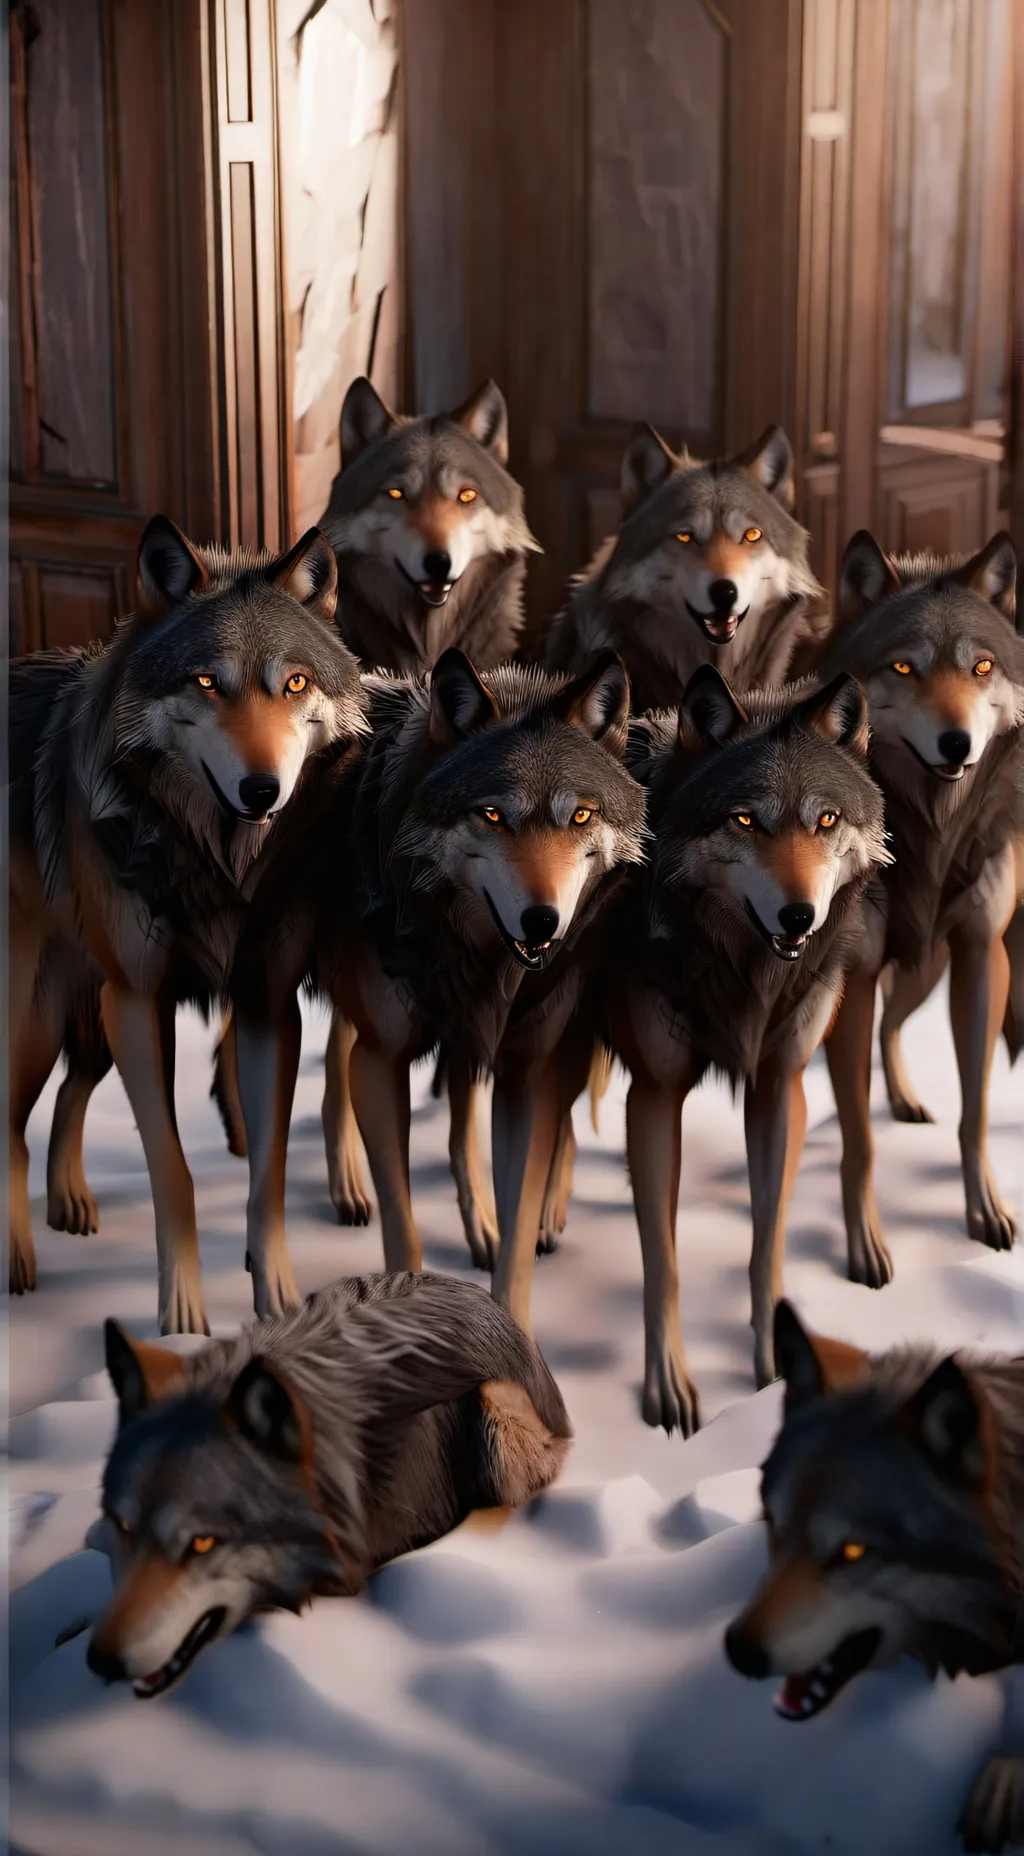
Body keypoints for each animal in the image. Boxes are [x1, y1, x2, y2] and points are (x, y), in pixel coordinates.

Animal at [8, 517, 367, 1332]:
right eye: (207, 682)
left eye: (294, 683)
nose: (263, 789)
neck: (215, 864)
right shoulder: (141, 1003)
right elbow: (172, 1170)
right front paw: (183, 1320)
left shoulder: (266, 1004)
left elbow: (267, 1170)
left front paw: (278, 1301)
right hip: (35, 1020)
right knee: (10, 1130)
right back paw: (18, 1258)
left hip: (86, 1008)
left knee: (70, 1091)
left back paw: (70, 1203)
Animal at [230, 647, 645, 1334]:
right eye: (492, 814)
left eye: (580, 815)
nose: (542, 921)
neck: (468, 948)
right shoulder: (386, 1059)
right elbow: (405, 1233)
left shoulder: (525, 1072)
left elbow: (518, 1243)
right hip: (274, 999)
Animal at [605, 666, 888, 1433]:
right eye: (745, 821)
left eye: (826, 821)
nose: (798, 915)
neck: (741, 971)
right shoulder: (654, 1095)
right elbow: (663, 1259)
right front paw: (667, 1390)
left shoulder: (778, 1086)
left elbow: (768, 1241)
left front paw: (771, 1371)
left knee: (860, 1137)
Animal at [820, 531, 1023, 1282]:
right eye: (904, 667)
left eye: (982, 667)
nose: (956, 742)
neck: (932, 835)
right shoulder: (851, 977)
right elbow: (859, 1142)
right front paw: (865, 1246)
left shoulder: (981, 959)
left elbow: (976, 1111)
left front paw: (986, 1209)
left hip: (927, 971)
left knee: (892, 1029)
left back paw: (905, 1098)